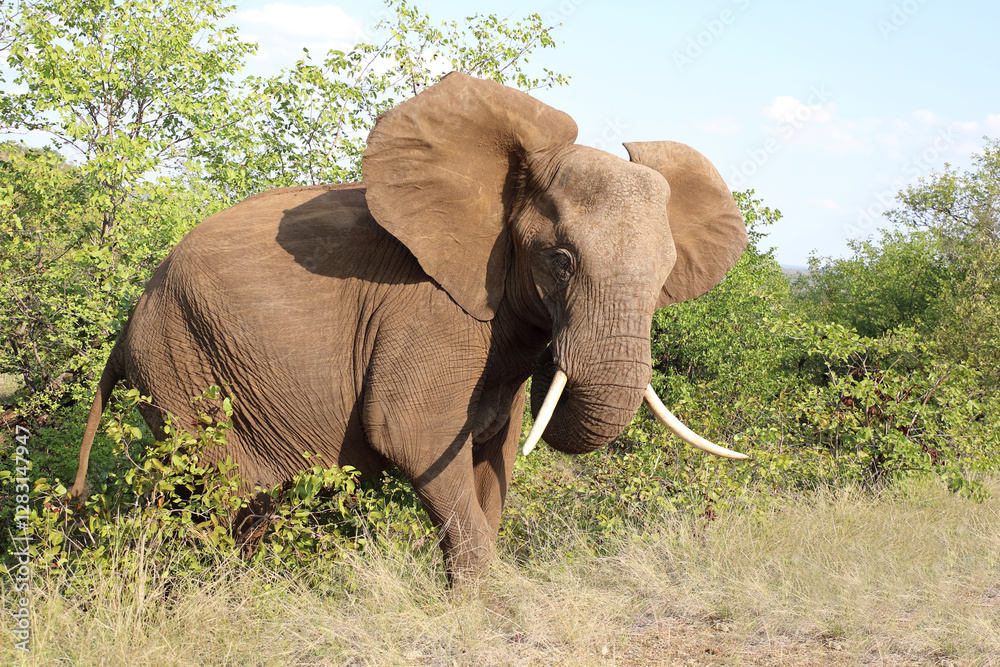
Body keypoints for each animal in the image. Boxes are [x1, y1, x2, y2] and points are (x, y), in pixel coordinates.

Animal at [70, 72, 749, 580]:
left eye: (666, 274)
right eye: (560, 260)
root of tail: (131, 315)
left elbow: (495, 454)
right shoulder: (428, 312)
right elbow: (414, 437)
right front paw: (480, 606)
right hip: (179, 364)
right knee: (208, 492)